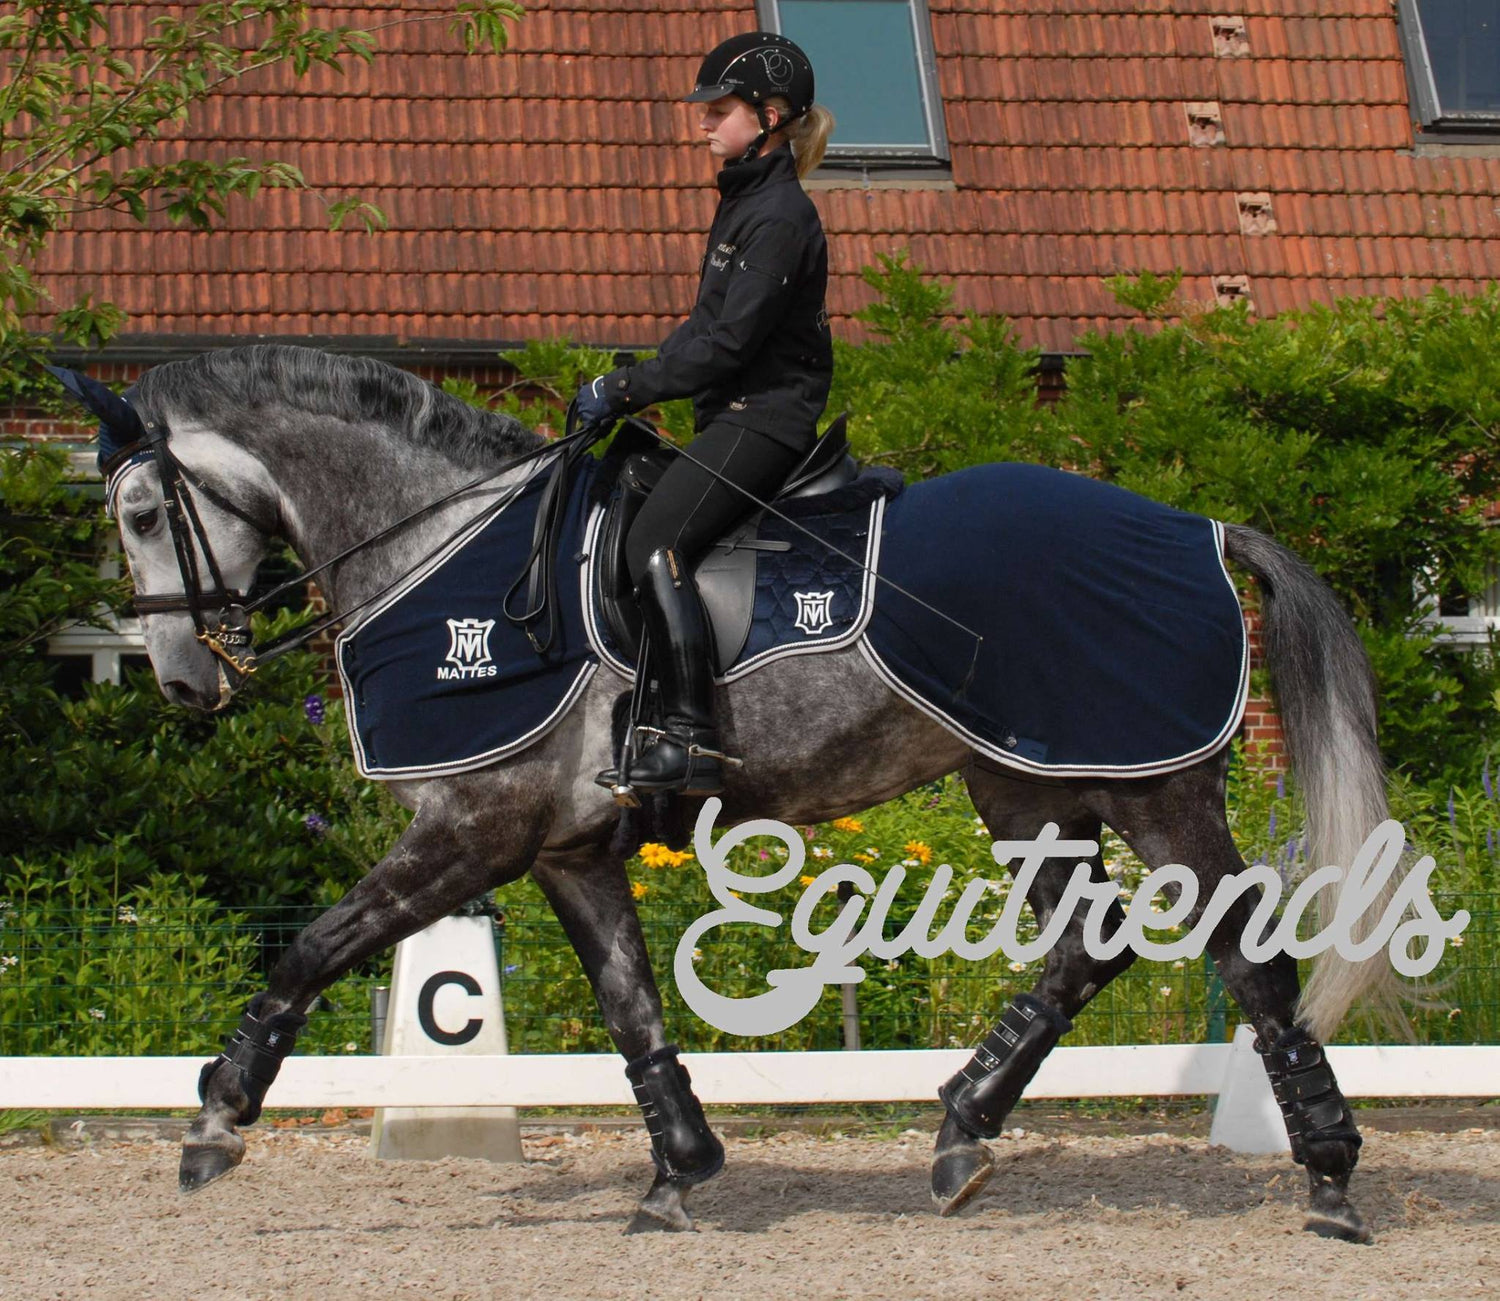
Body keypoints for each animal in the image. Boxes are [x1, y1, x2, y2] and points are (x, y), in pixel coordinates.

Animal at [99, 346, 1398, 1242]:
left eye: (142, 511)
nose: (179, 681)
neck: (448, 547)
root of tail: (1199, 528)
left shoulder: (478, 827)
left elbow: (313, 946)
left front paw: (216, 1117)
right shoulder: (567, 846)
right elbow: (628, 1004)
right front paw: (679, 1169)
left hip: (1156, 794)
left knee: (1251, 958)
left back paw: (1330, 1175)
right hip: (1027, 787)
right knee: (1093, 941)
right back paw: (961, 1130)